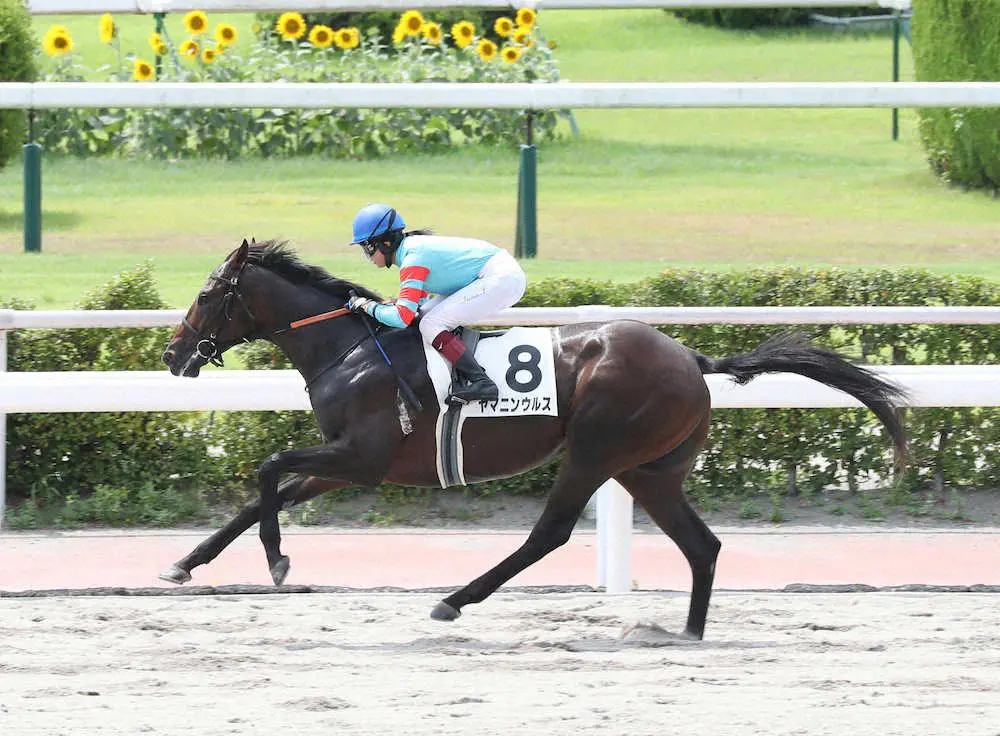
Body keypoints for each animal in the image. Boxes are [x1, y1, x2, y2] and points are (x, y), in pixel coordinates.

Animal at [162, 240, 908, 640]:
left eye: (207, 293)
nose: (172, 355)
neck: (350, 348)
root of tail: (693, 359)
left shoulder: (363, 457)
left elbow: (268, 469)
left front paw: (277, 562)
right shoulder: (346, 462)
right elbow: (266, 493)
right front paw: (185, 564)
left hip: (597, 450)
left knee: (549, 533)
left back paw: (454, 600)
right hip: (649, 470)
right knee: (702, 545)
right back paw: (688, 631)